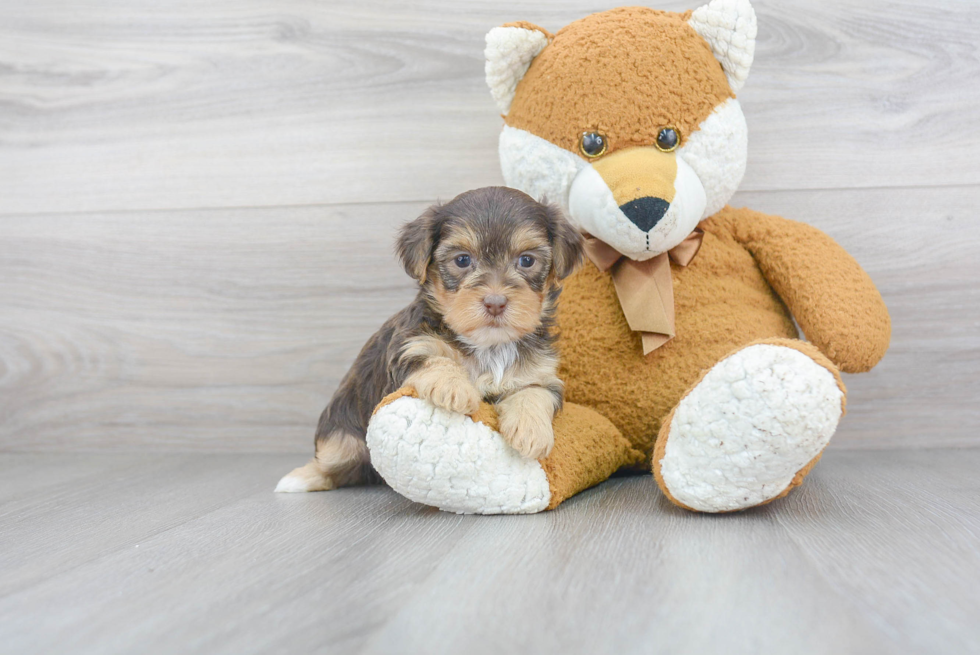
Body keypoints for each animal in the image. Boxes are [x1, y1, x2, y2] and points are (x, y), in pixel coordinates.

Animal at [276, 184, 580, 492]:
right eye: (462, 260)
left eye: (527, 260)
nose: (495, 302)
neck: (488, 345)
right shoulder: (409, 347)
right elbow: (434, 358)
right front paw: (454, 387)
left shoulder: (539, 374)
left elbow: (535, 392)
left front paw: (531, 430)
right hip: (342, 435)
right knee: (334, 461)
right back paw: (299, 478)